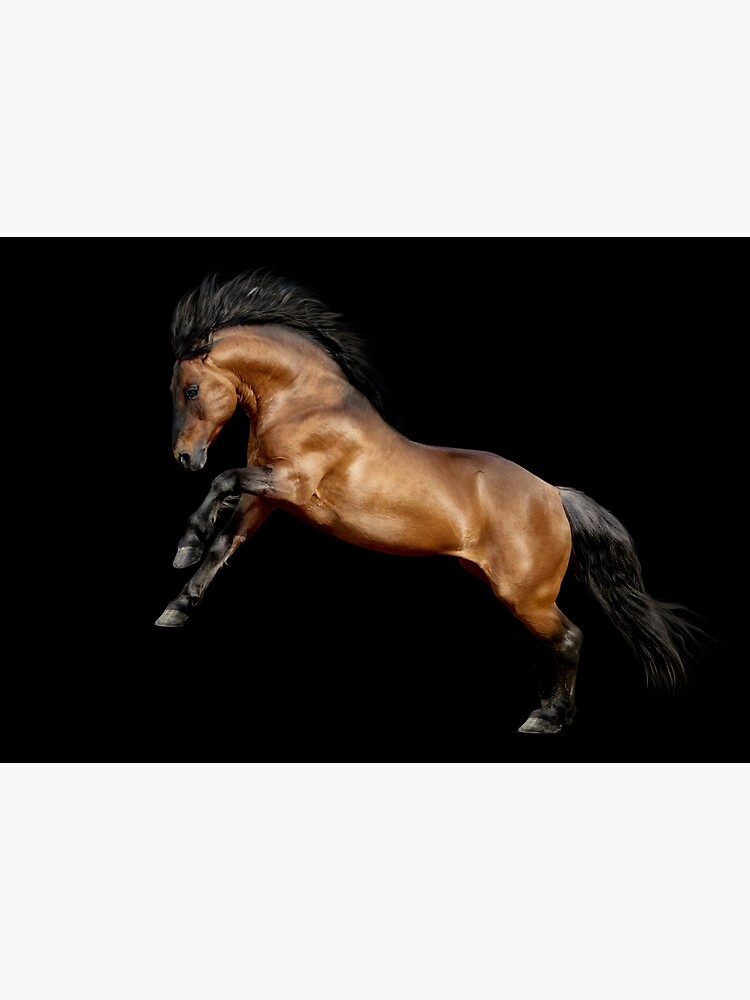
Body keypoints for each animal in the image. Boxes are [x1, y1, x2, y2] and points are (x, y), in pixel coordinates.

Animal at [155, 268, 700, 734]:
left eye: (192, 389)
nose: (184, 457)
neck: (307, 404)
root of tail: (553, 494)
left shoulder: (291, 484)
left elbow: (222, 481)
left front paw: (183, 548)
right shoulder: (268, 499)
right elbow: (224, 543)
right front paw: (177, 606)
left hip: (527, 594)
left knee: (569, 638)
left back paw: (546, 718)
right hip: (514, 591)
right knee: (549, 643)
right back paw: (545, 709)